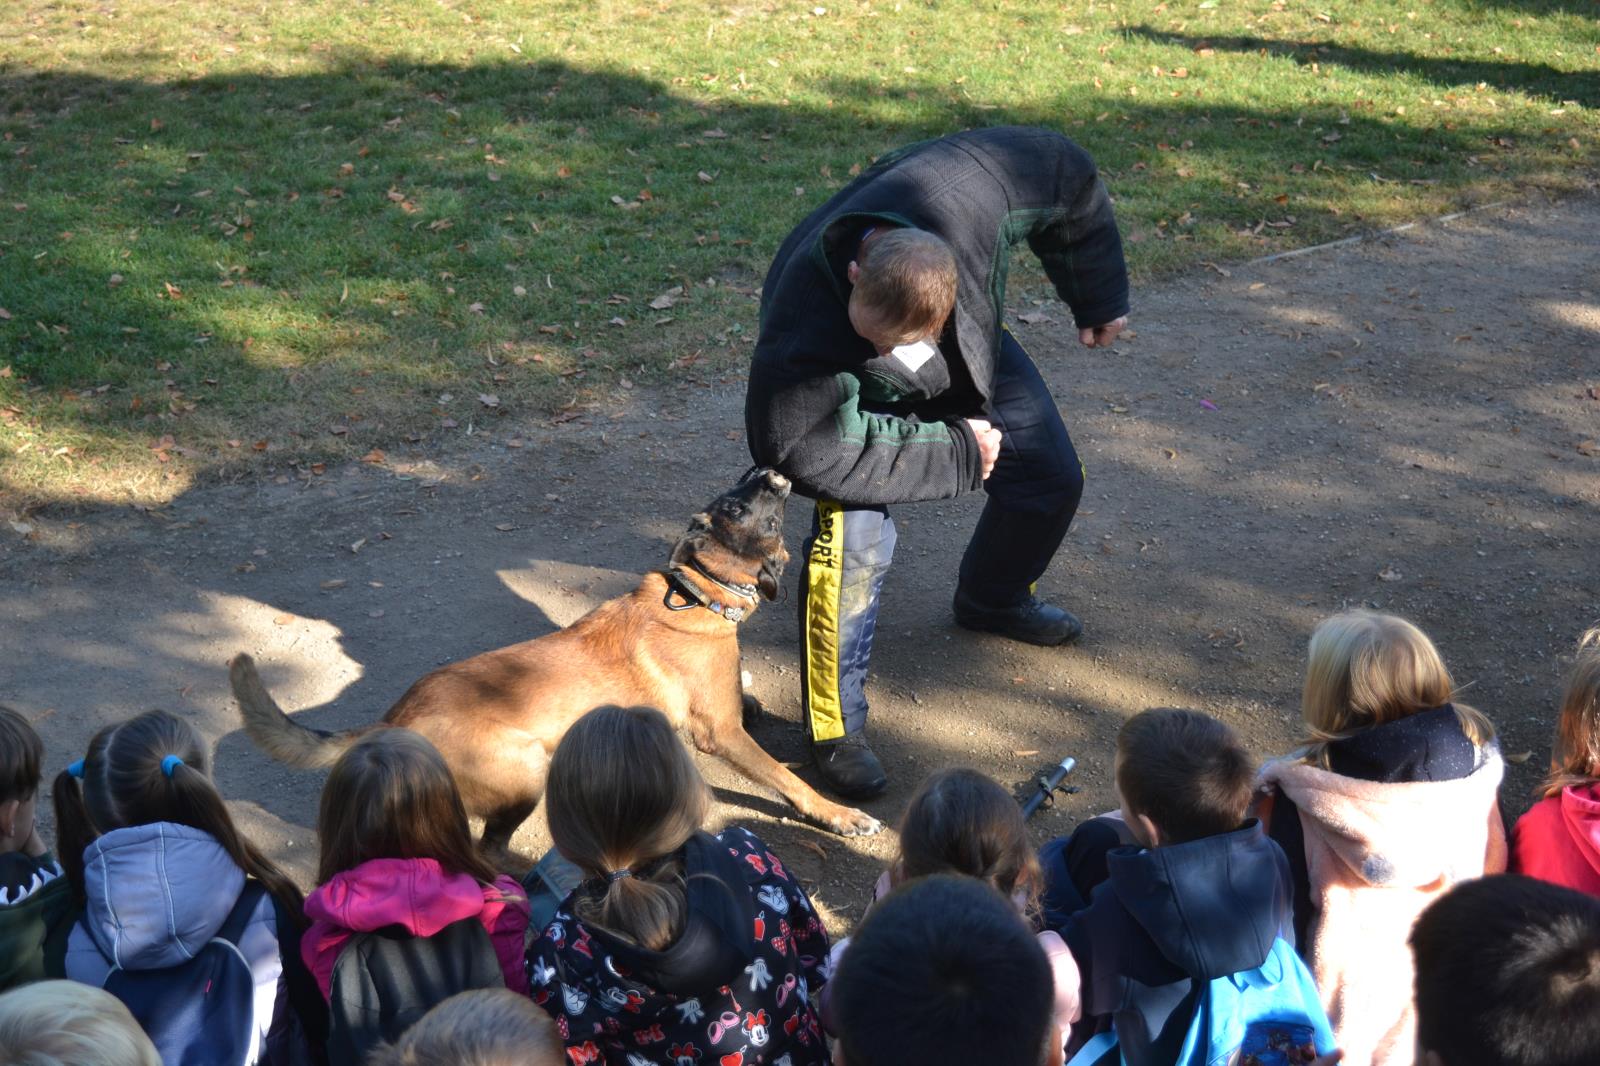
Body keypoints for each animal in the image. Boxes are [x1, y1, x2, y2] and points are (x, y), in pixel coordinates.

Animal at [232, 470, 889, 851]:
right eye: (735, 507)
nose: (770, 470)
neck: (697, 591)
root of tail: (392, 722)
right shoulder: (720, 733)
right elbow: (784, 777)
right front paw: (839, 816)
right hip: (527, 768)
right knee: (488, 850)